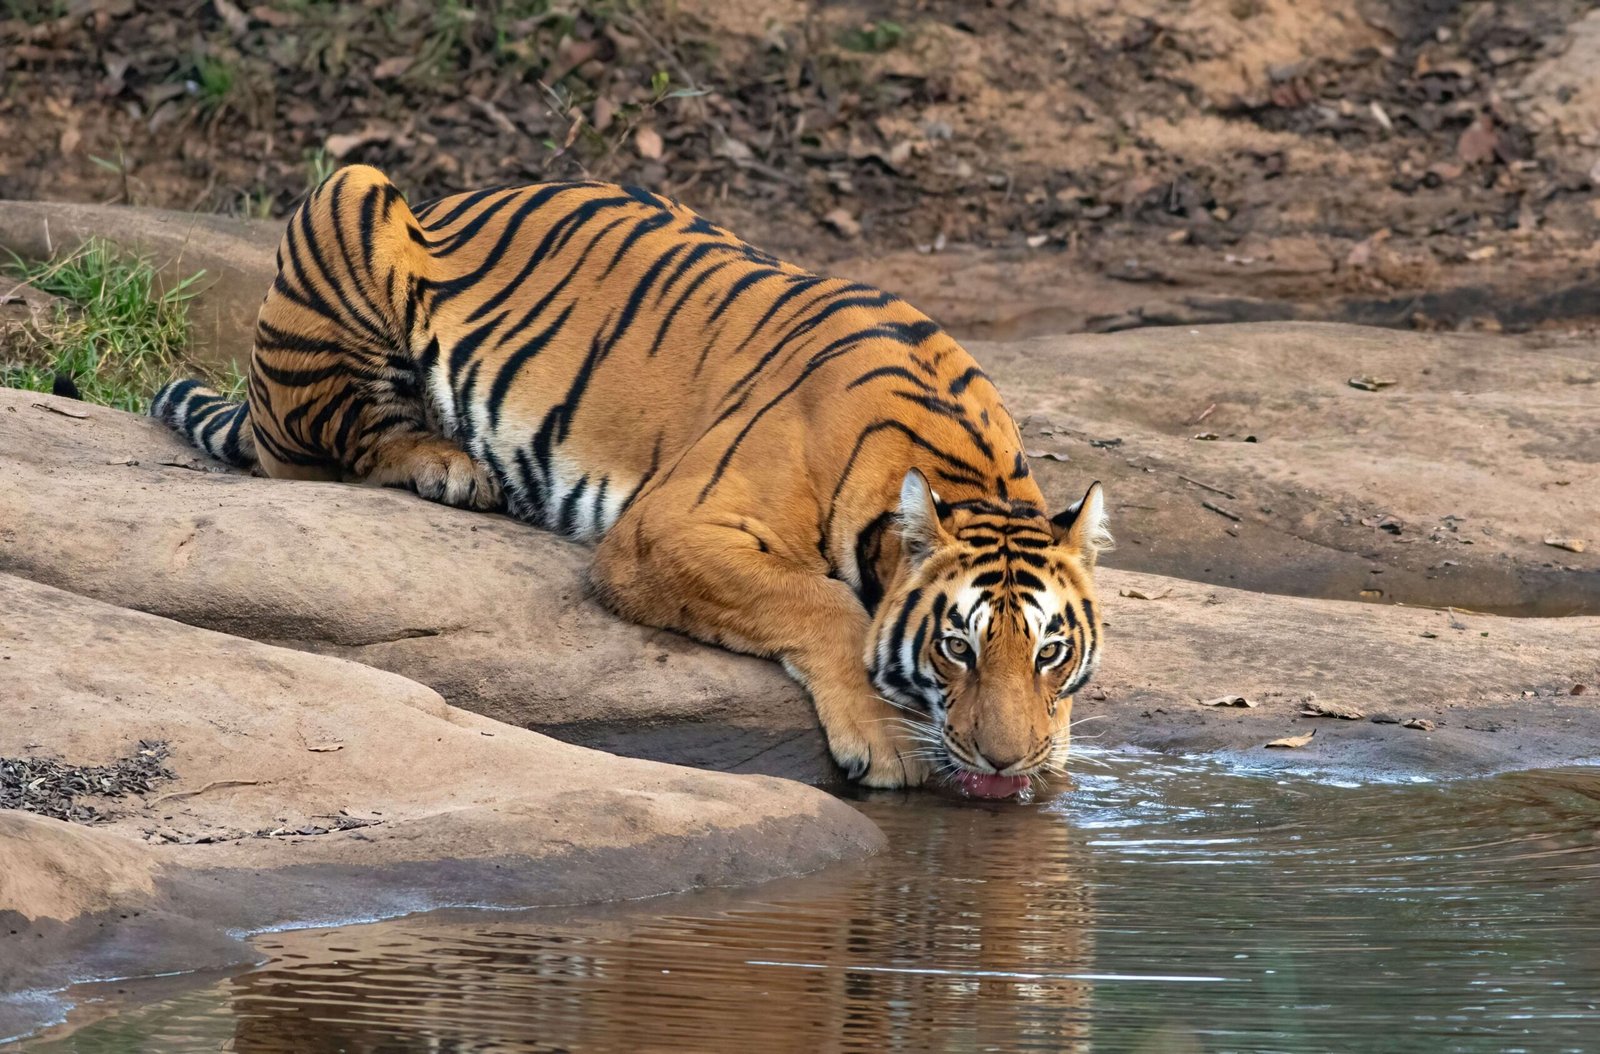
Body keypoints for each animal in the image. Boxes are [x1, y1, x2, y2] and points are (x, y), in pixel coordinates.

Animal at [151, 165, 1111, 796]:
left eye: (1051, 652)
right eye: (957, 647)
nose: (1008, 762)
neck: (959, 462)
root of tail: (447, 197)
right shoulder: (666, 530)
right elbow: (826, 603)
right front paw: (889, 745)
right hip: (349, 195)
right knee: (325, 447)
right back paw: (451, 466)